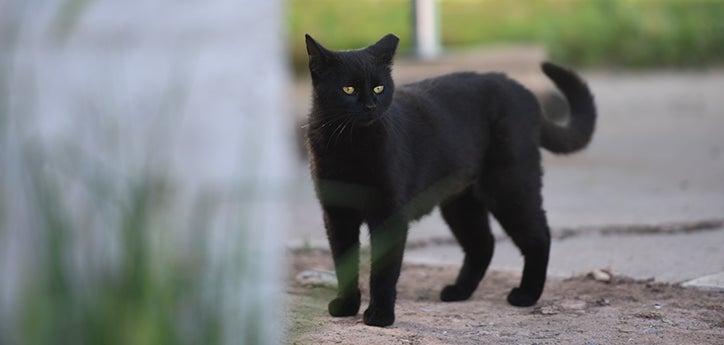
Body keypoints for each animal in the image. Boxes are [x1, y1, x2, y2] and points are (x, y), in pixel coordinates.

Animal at [304, 32, 592, 326]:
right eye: (348, 89)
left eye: (379, 88)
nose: (371, 106)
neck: (349, 144)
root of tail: (522, 91)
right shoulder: (338, 215)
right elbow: (344, 263)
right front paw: (346, 305)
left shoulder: (389, 215)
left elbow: (384, 271)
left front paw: (380, 315)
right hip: (461, 202)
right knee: (483, 243)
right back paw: (458, 291)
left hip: (509, 185)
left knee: (538, 236)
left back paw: (525, 295)